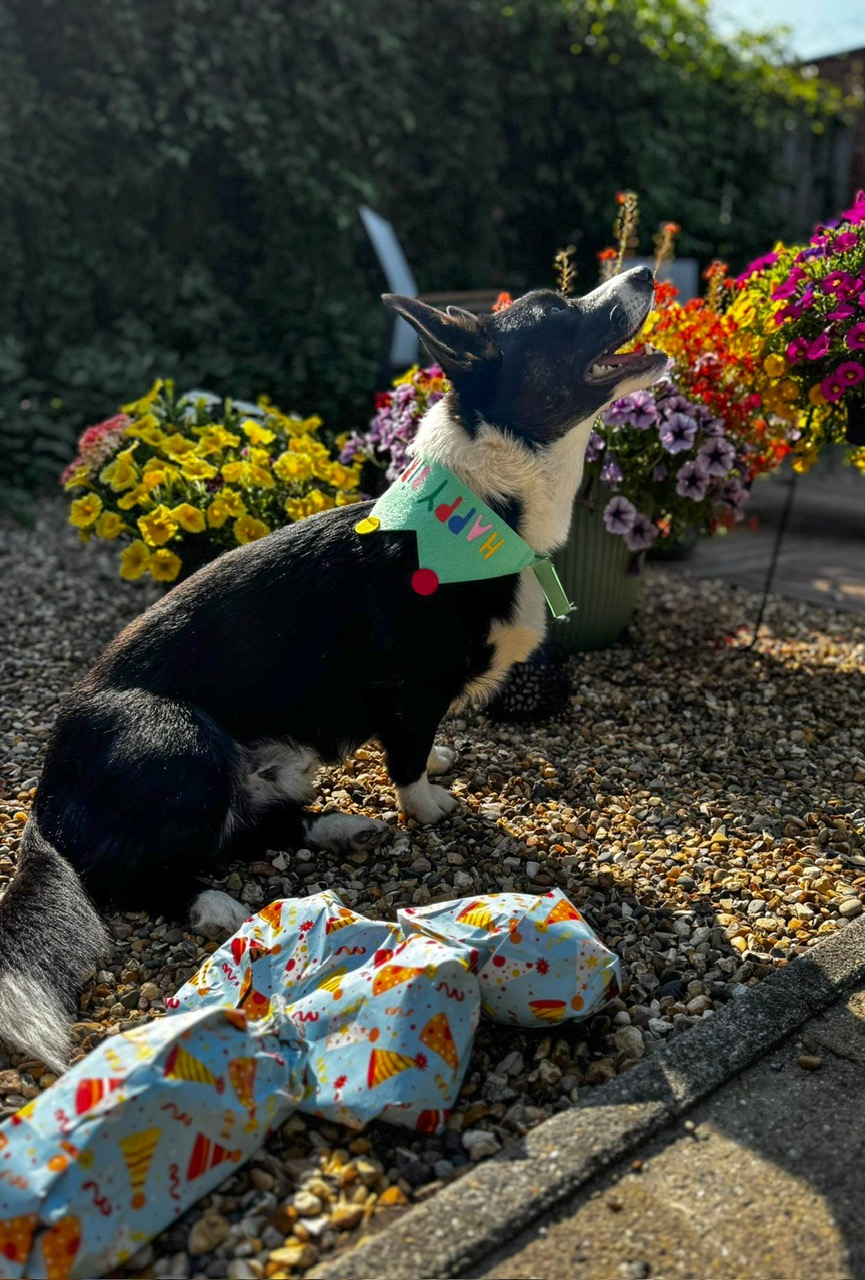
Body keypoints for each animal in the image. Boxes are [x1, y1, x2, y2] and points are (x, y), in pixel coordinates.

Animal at [0, 267, 667, 1070]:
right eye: (558, 312)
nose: (644, 273)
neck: (485, 511)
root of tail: (45, 798)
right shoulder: (409, 691)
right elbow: (406, 757)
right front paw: (426, 804)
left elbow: (419, 746)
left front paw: (434, 768)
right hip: (177, 738)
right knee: (133, 872)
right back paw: (212, 902)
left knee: (250, 827)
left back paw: (339, 828)